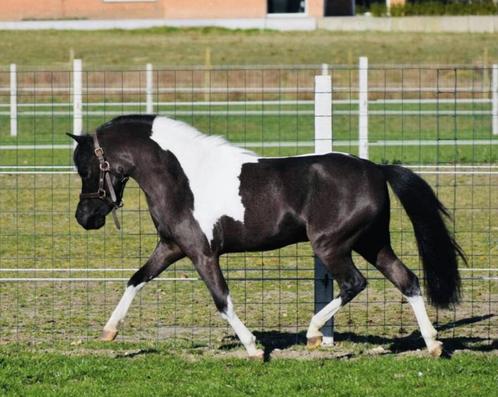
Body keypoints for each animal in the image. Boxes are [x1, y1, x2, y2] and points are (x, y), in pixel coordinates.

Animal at [69, 113, 462, 356]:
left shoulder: (202, 253)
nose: (84, 218)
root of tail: (377, 169)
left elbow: (222, 300)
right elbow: (136, 279)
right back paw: (433, 344)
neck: (182, 180)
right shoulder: (171, 247)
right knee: (407, 280)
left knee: (354, 283)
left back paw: (314, 334)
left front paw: (254, 348)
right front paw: (108, 332)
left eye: (87, 168)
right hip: (372, 243)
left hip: (331, 245)